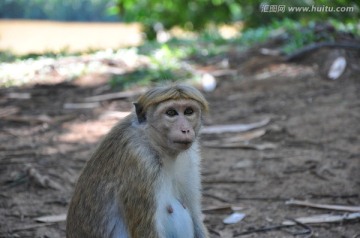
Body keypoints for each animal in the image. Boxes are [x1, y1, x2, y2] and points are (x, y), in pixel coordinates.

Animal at [66, 84, 210, 238]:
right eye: (171, 113)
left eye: (189, 111)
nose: (185, 130)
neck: (155, 145)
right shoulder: (142, 162)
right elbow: (145, 231)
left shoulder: (190, 159)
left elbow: (194, 215)